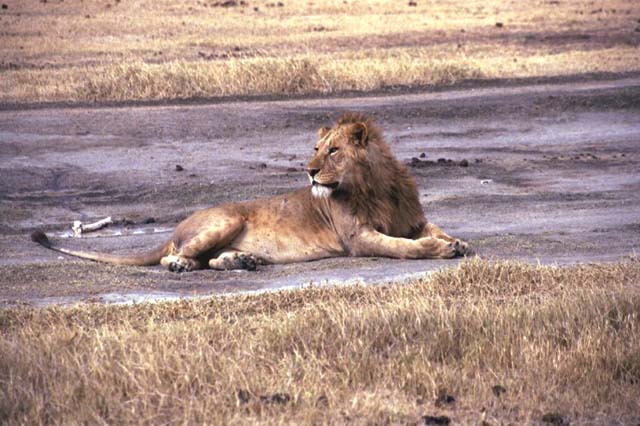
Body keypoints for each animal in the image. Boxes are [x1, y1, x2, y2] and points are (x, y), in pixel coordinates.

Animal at [31, 112, 470, 272]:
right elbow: (403, 247)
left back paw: (242, 261)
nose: (309, 171)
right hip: (225, 219)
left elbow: (433, 229)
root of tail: (175, 228)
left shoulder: (411, 219)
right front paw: (440, 250)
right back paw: (183, 265)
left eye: (333, 151)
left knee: (210, 261)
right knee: (177, 256)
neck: (374, 185)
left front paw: (459, 242)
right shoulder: (358, 238)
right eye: (316, 149)